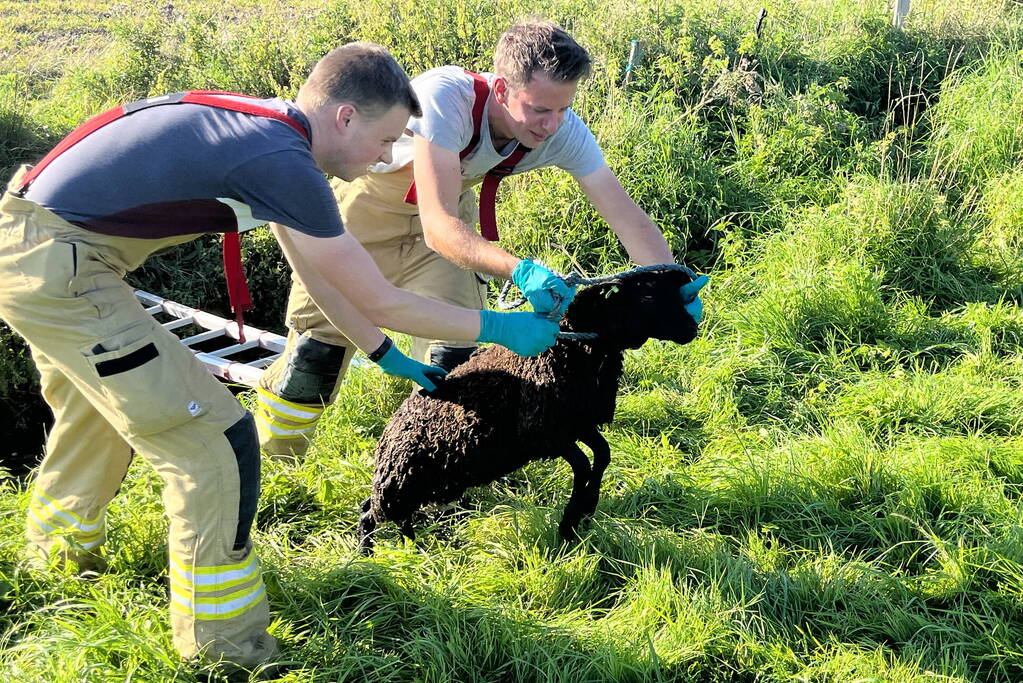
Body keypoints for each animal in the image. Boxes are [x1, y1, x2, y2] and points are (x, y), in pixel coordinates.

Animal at [360, 263, 703, 552]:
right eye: (647, 296)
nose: (692, 329)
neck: (572, 348)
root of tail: (388, 431)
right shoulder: (546, 433)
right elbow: (583, 464)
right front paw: (571, 520)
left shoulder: (580, 423)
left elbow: (602, 455)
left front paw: (586, 511)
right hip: (400, 484)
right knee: (368, 512)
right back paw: (368, 555)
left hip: (423, 484)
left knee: (396, 516)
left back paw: (413, 548)